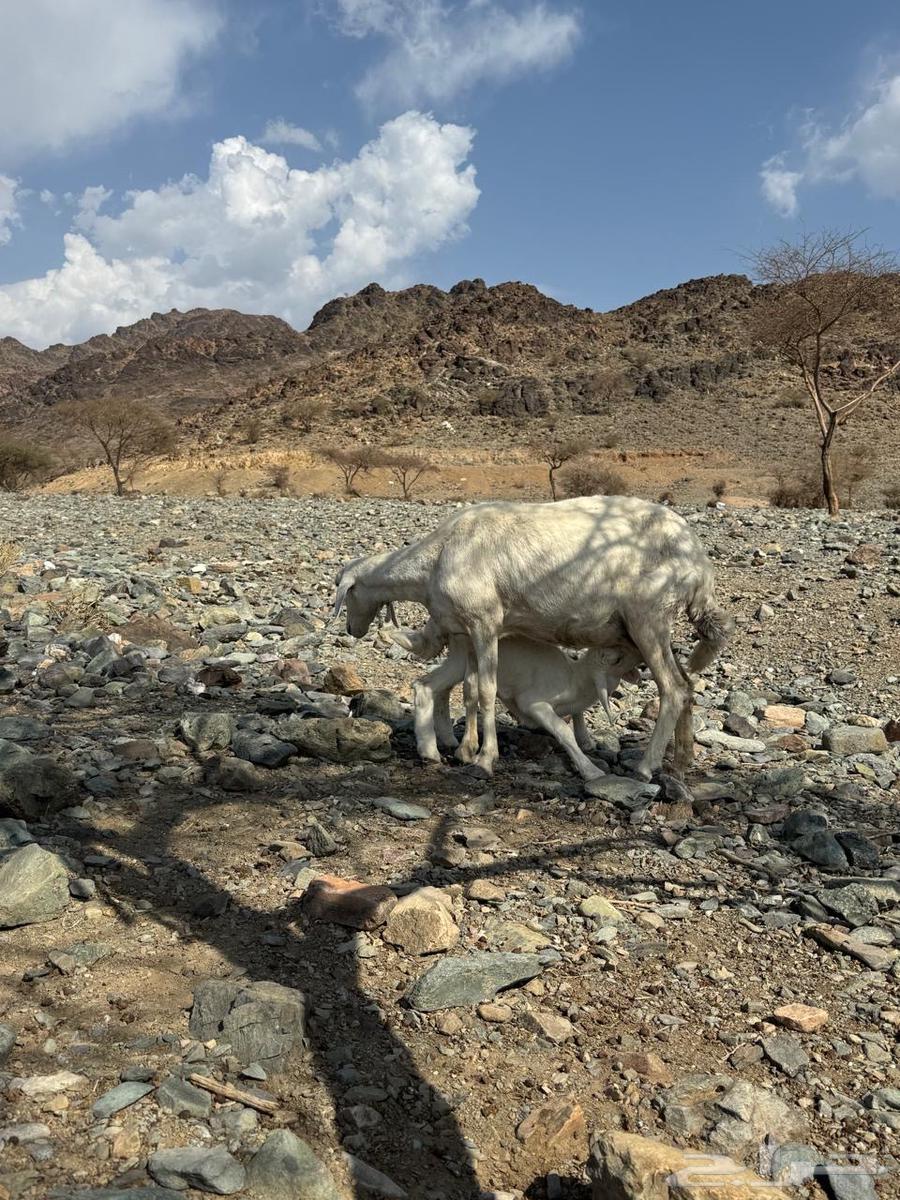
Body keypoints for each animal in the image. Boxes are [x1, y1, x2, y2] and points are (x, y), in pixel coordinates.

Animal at [389, 619, 641, 782]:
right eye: (616, 658)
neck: (575, 679)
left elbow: (578, 717)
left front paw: (587, 742)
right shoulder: (534, 703)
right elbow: (563, 730)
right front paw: (591, 771)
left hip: (457, 662)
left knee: (432, 686)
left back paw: (443, 741)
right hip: (465, 659)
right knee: (433, 687)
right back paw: (433, 750)